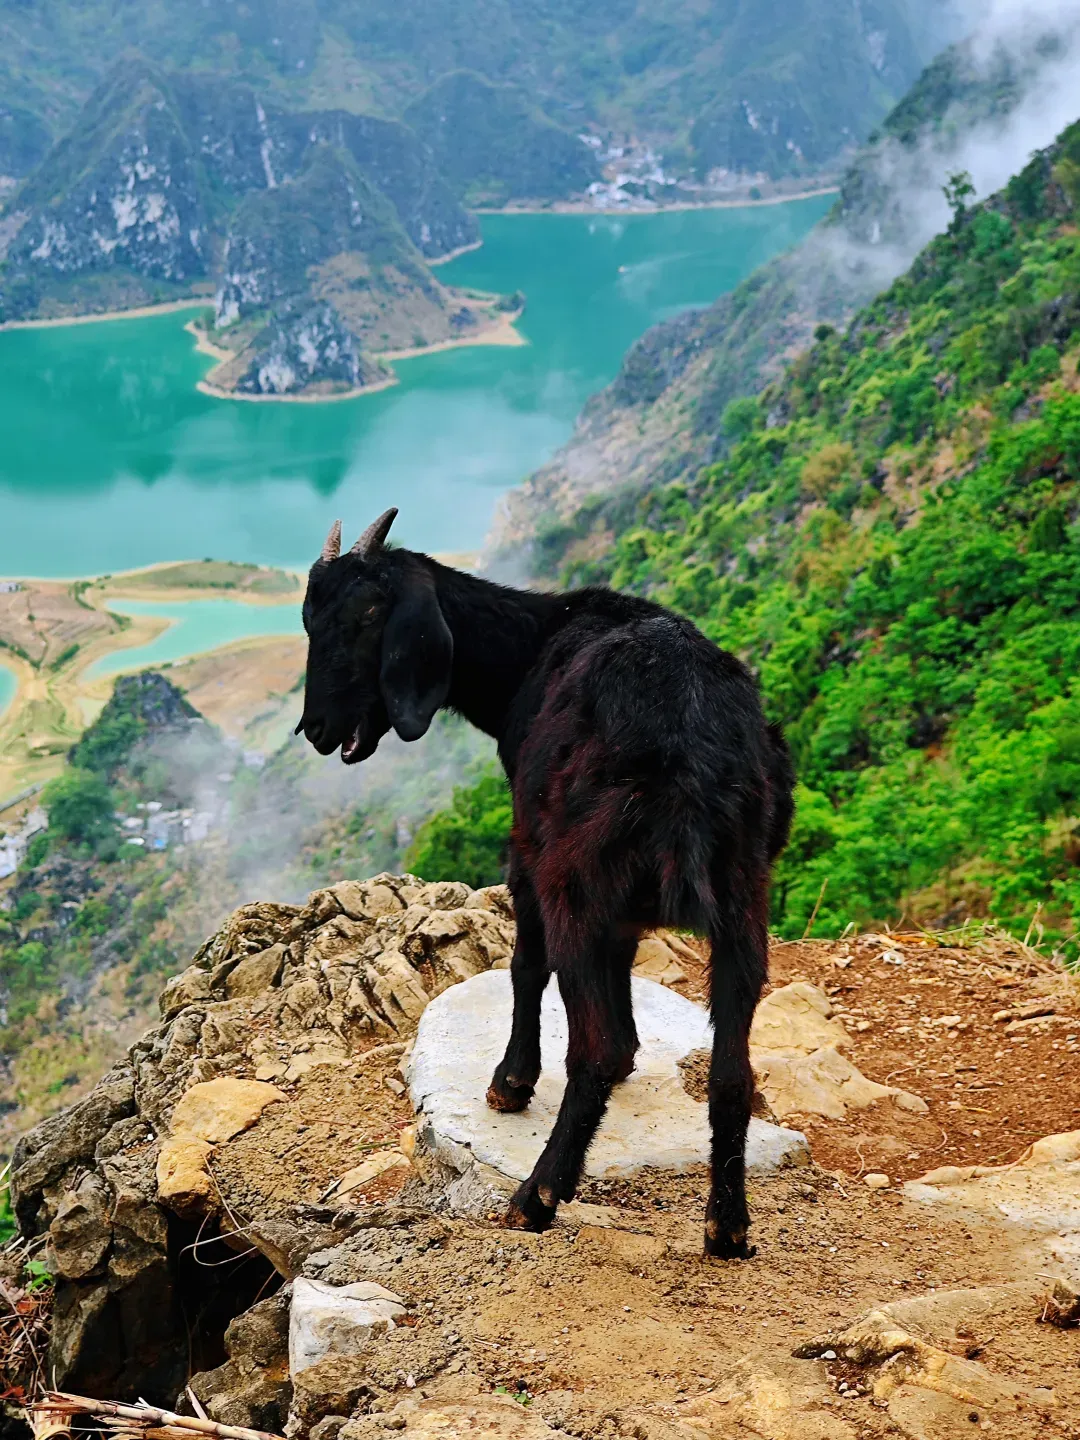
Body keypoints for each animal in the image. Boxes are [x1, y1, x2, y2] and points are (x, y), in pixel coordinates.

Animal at [296, 509, 794, 1257]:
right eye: (308, 619)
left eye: (366, 615)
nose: (317, 728)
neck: (530, 647)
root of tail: (691, 750)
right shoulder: (627, 903)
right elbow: (622, 960)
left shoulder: (527, 845)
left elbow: (526, 965)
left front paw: (510, 1082)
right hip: (743, 893)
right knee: (732, 1066)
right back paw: (727, 1225)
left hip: (574, 875)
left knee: (591, 1046)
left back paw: (536, 1196)